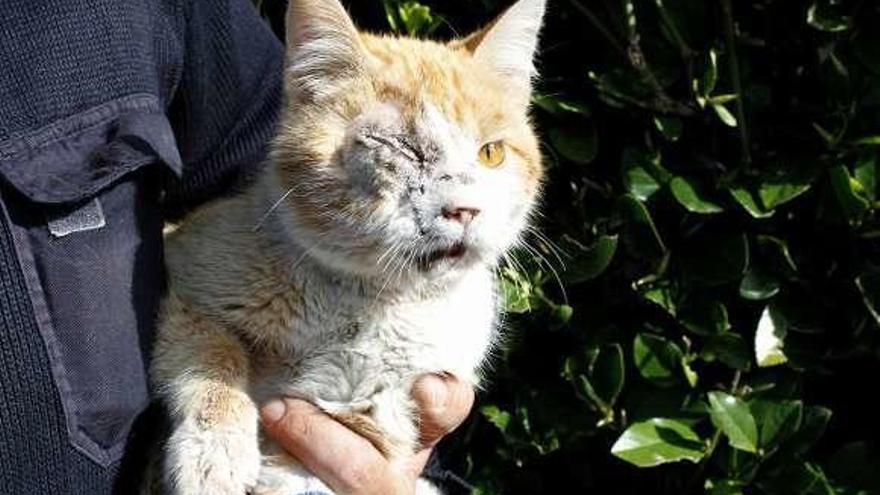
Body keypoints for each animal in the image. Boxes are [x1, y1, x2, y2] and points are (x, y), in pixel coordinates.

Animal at [150, 0, 548, 494]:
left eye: (491, 153)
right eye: (402, 147)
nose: (465, 209)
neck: (367, 302)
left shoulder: (378, 412)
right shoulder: (183, 284)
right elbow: (213, 359)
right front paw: (216, 451)